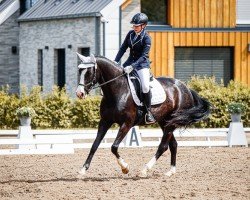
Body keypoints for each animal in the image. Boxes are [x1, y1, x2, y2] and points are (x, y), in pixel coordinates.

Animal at [75, 53, 210, 177]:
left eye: (89, 72)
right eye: (80, 71)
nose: (79, 93)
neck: (117, 90)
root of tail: (185, 87)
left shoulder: (126, 124)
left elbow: (114, 147)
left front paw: (125, 168)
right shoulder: (104, 122)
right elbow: (94, 145)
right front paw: (83, 170)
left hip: (171, 122)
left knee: (163, 146)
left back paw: (145, 169)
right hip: (164, 121)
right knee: (173, 144)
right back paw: (170, 171)